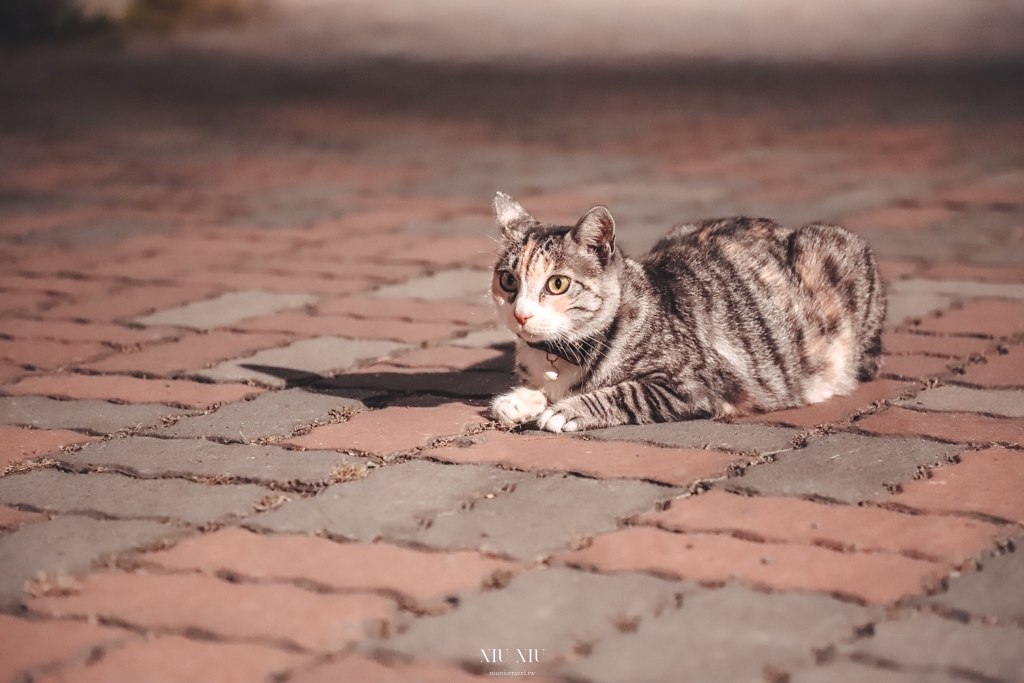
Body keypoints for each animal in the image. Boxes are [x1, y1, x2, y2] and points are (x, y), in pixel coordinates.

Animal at [485, 191, 880, 432]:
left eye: (557, 284)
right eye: (507, 280)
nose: (521, 314)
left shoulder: (700, 381)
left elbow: (627, 392)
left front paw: (567, 409)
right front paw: (520, 400)